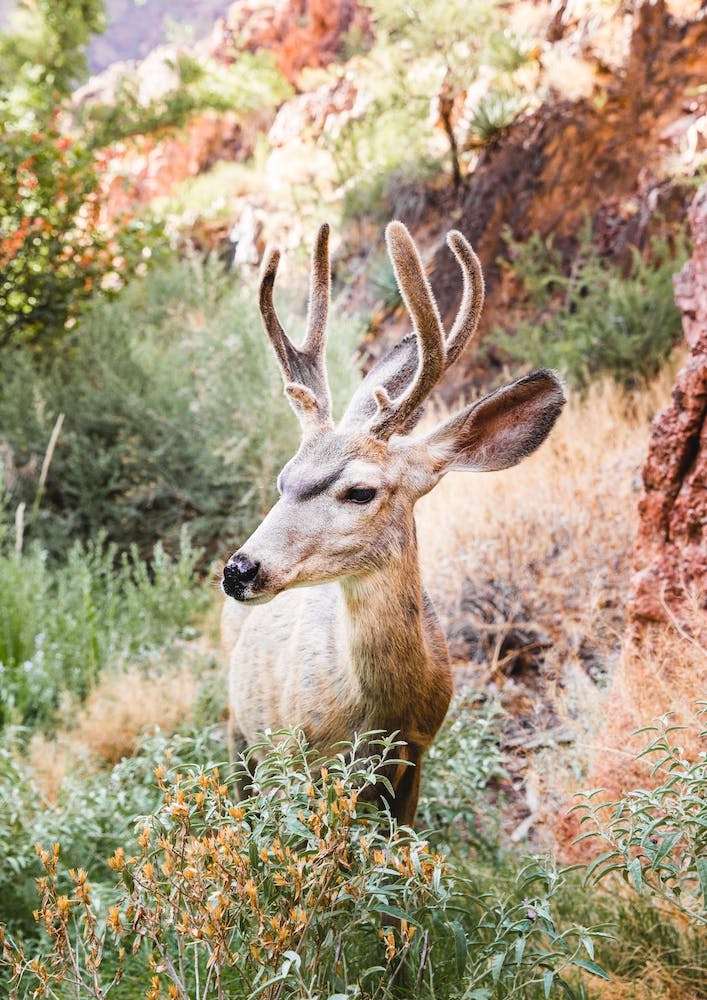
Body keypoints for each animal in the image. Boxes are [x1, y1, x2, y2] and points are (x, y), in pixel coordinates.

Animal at [221, 220, 566, 825]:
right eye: (284, 478)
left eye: (361, 491)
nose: (240, 570)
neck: (380, 715)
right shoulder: (295, 757)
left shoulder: (417, 753)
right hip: (240, 728)